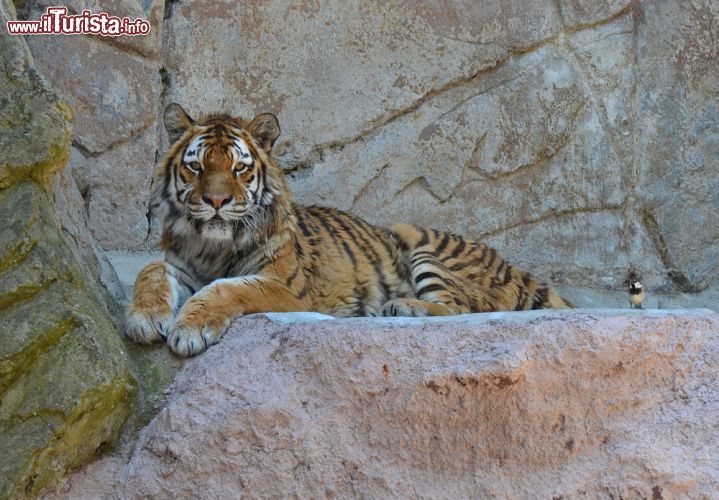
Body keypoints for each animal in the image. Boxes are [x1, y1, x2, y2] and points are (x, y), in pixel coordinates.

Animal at [125, 103, 572, 358]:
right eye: (196, 167)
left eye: (238, 168)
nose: (216, 202)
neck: (213, 246)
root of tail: (513, 267)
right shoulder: (181, 265)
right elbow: (150, 270)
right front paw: (144, 319)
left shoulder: (285, 288)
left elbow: (228, 288)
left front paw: (190, 329)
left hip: (423, 249)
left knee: (461, 309)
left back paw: (403, 307)